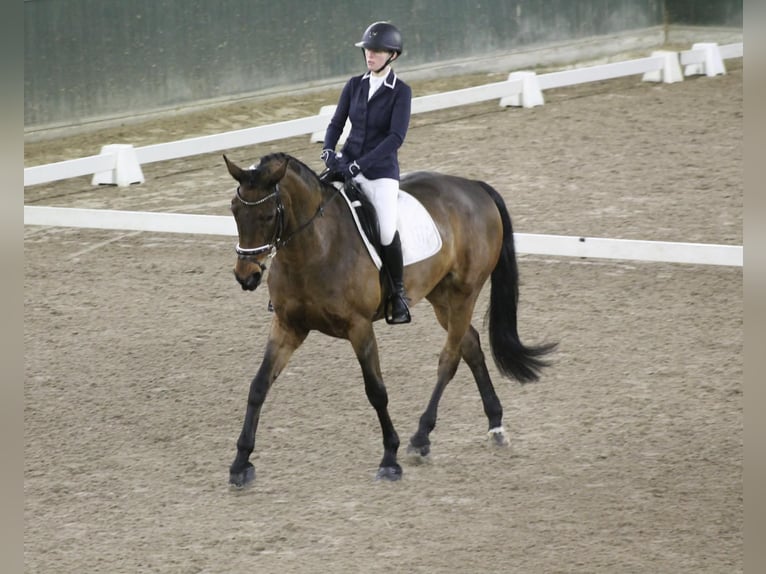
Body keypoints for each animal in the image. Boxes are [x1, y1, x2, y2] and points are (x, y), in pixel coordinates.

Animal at [224, 152, 556, 487]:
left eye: (268, 216)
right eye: (234, 210)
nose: (245, 276)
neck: (315, 248)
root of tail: (474, 187)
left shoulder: (359, 328)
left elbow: (376, 392)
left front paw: (389, 459)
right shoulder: (288, 325)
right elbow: (259, 385)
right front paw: (240, 463)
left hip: (465, 293)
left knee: (450, 358)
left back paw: (421, 437)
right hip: (441, 296)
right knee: (471, 345)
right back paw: (495, 424)